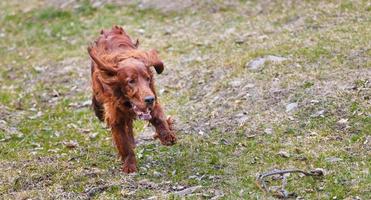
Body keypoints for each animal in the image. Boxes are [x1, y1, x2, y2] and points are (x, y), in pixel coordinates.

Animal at [89, 25, 178, 173]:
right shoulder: (115, 115)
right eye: (131, 81)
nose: (149, 99)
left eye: (148, 78)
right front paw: (129, 164)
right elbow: (124, 144)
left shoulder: (152, 96)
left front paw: (166, 135)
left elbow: (159, 117)